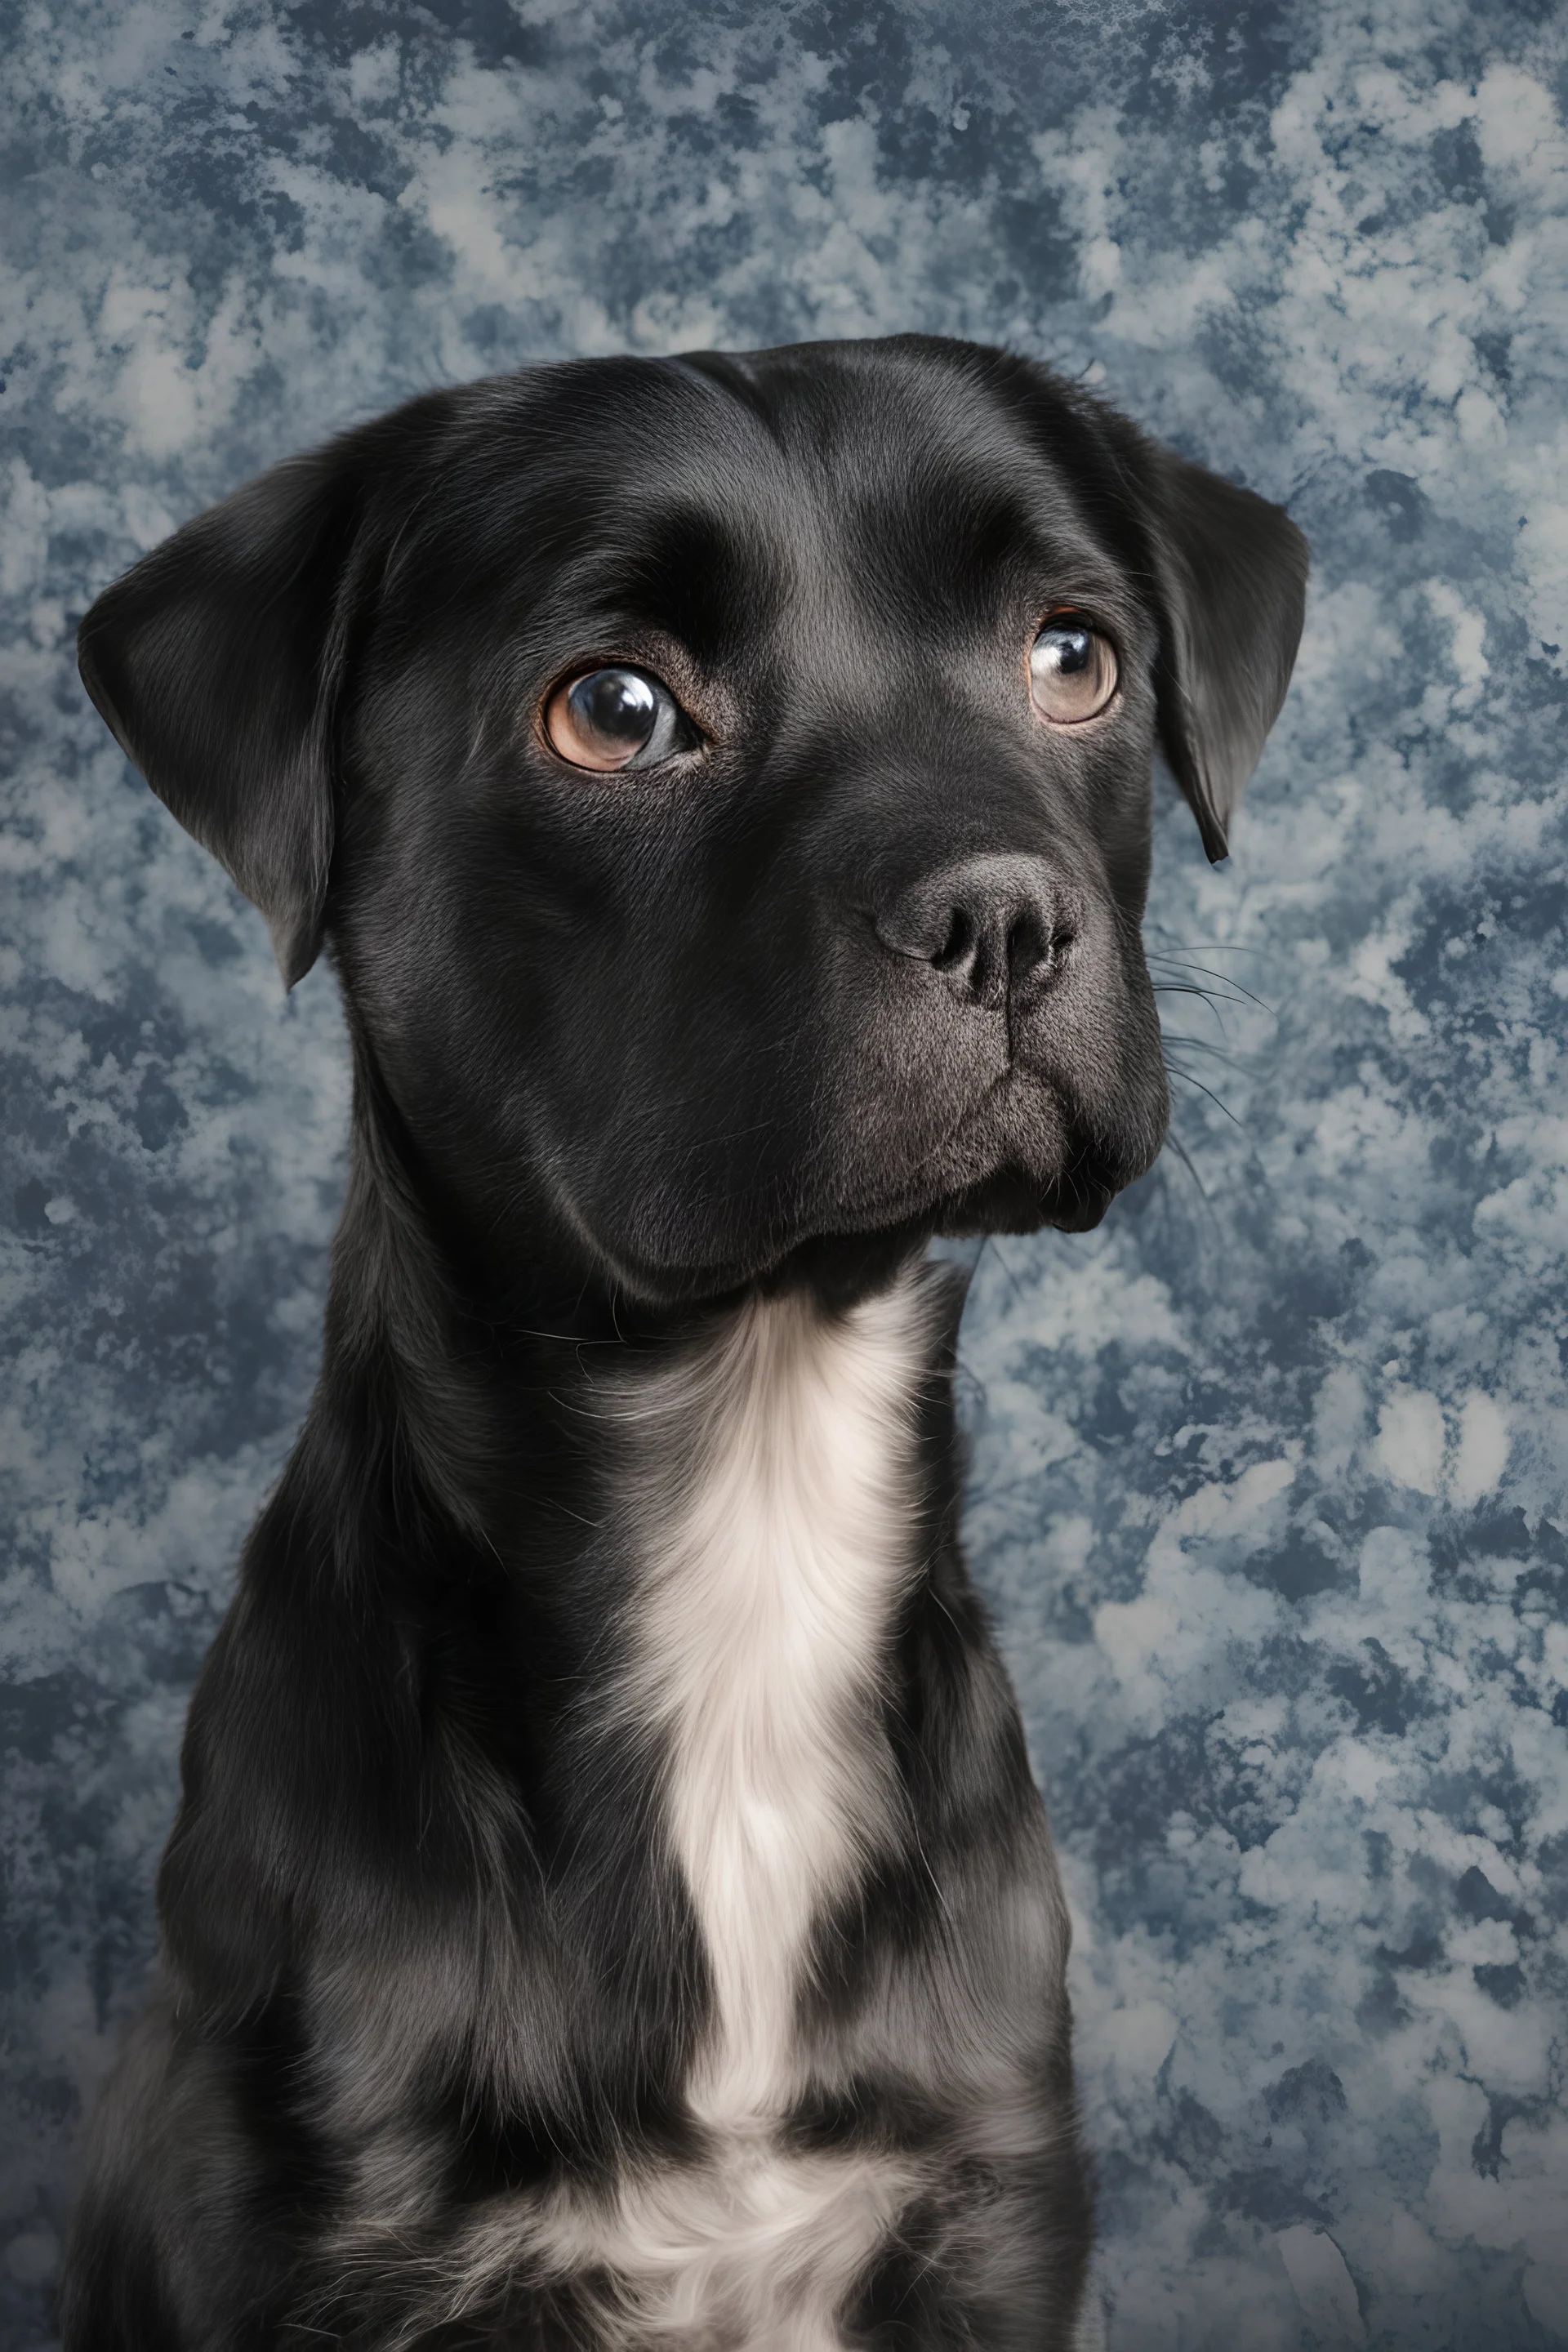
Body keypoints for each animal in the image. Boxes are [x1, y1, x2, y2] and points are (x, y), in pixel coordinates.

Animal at [61, 336, 1307, 2352]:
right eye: (617, 710)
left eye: (1074, 656)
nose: (1007, 917)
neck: (753, 1478)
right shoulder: (338, 2249)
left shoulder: (979, 2212)